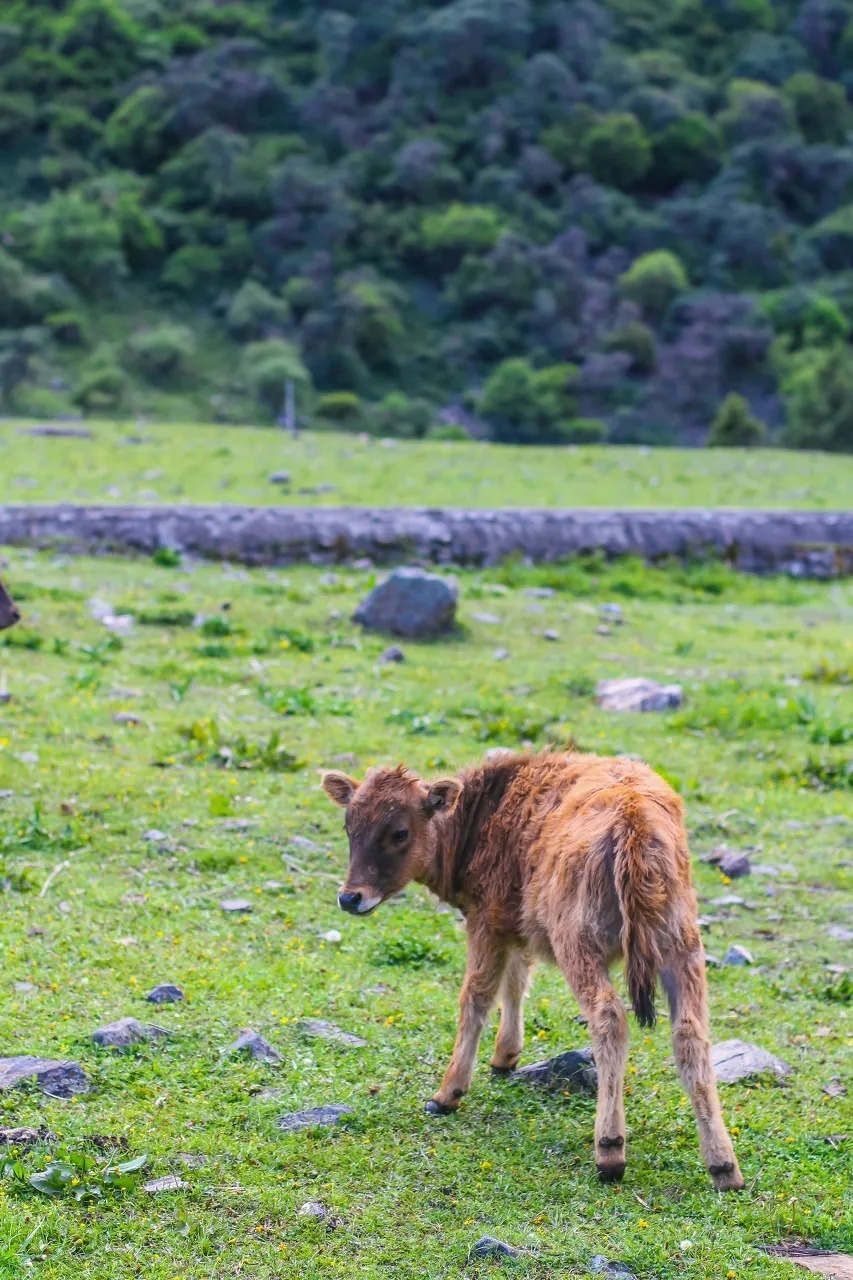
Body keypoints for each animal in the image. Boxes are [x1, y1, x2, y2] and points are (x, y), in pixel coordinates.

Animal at [322, 747, 742, 1187]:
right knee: (690, 1033)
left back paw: (610, 1151)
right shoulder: (514, 926)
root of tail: (634, 821)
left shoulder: (486, 922)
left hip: (580, 944)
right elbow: (516, 981)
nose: (350, 897)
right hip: (681, 946)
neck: (483, 815)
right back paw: (724, 1166)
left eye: (399, 832)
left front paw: (447, 1094)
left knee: (609, 1017)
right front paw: (504, 1057)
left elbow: (476, 995)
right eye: (349, 826)